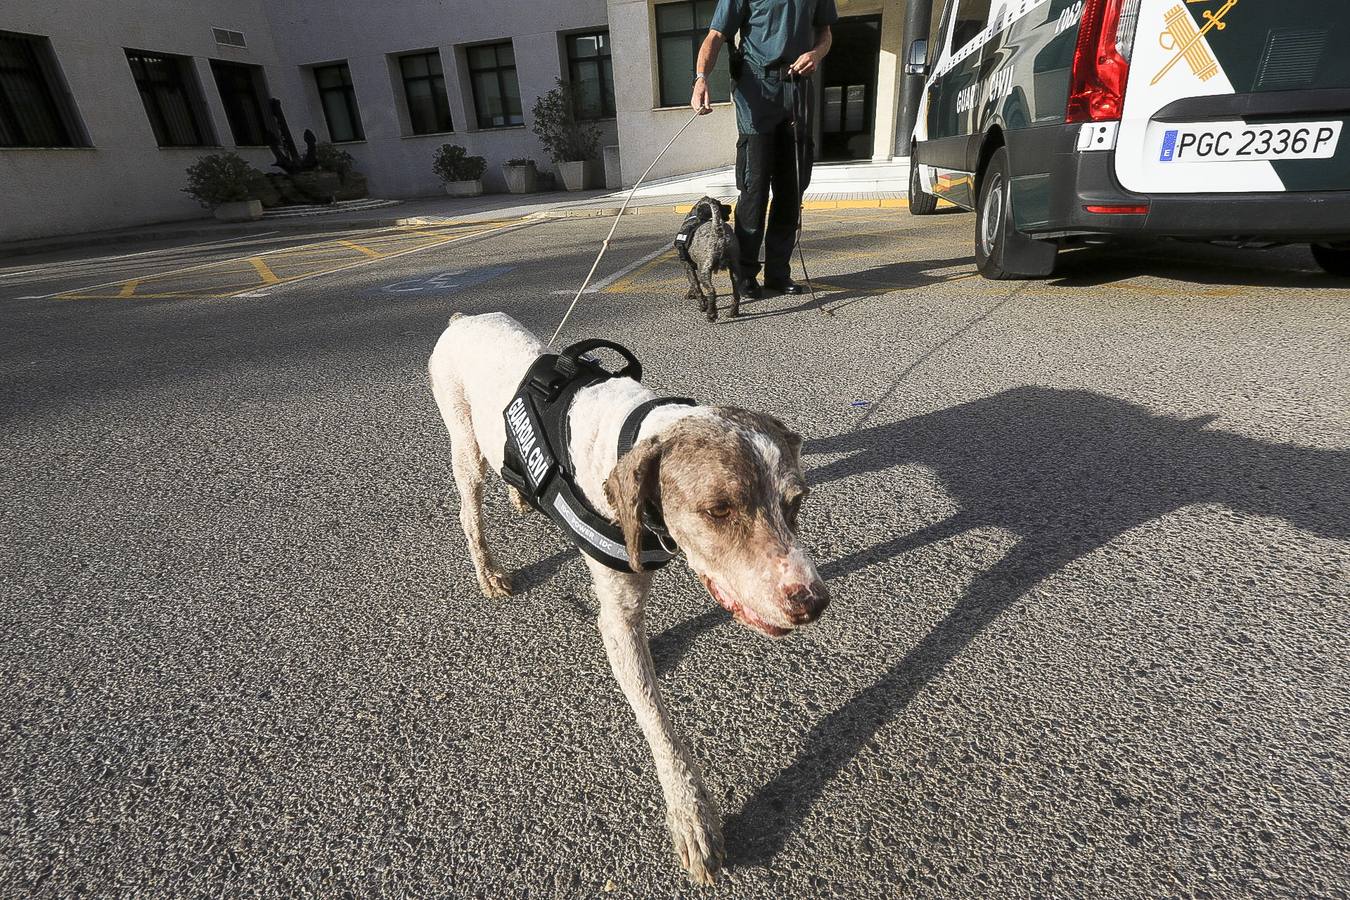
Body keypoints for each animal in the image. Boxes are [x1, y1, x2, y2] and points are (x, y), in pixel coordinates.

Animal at [429, 313, 831, 885]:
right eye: (719, 510)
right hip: (462, 442)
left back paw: (520, 491)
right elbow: (661, 728)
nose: (812, 601)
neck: (638, 434)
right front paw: (692, 818)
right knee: (470, 507)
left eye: (796, 501)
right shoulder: (616, 615)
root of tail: (464, 318)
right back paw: (488, 570)